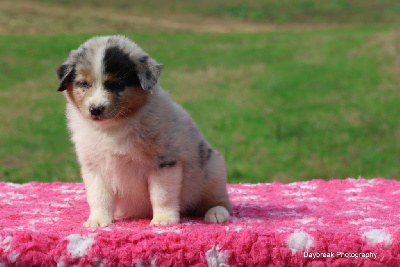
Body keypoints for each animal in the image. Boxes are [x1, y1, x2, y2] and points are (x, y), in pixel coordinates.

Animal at [56, 35, 231, 227]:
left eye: (116, 84)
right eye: (83, 84)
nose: (95, 109)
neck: (114, 126)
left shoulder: (163, 163)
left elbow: (161, 195)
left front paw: (163, 220)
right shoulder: (94, 167)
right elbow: (98, 197)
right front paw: (98, 220)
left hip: (213, 173)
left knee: (220, 201)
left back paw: (216, 213)